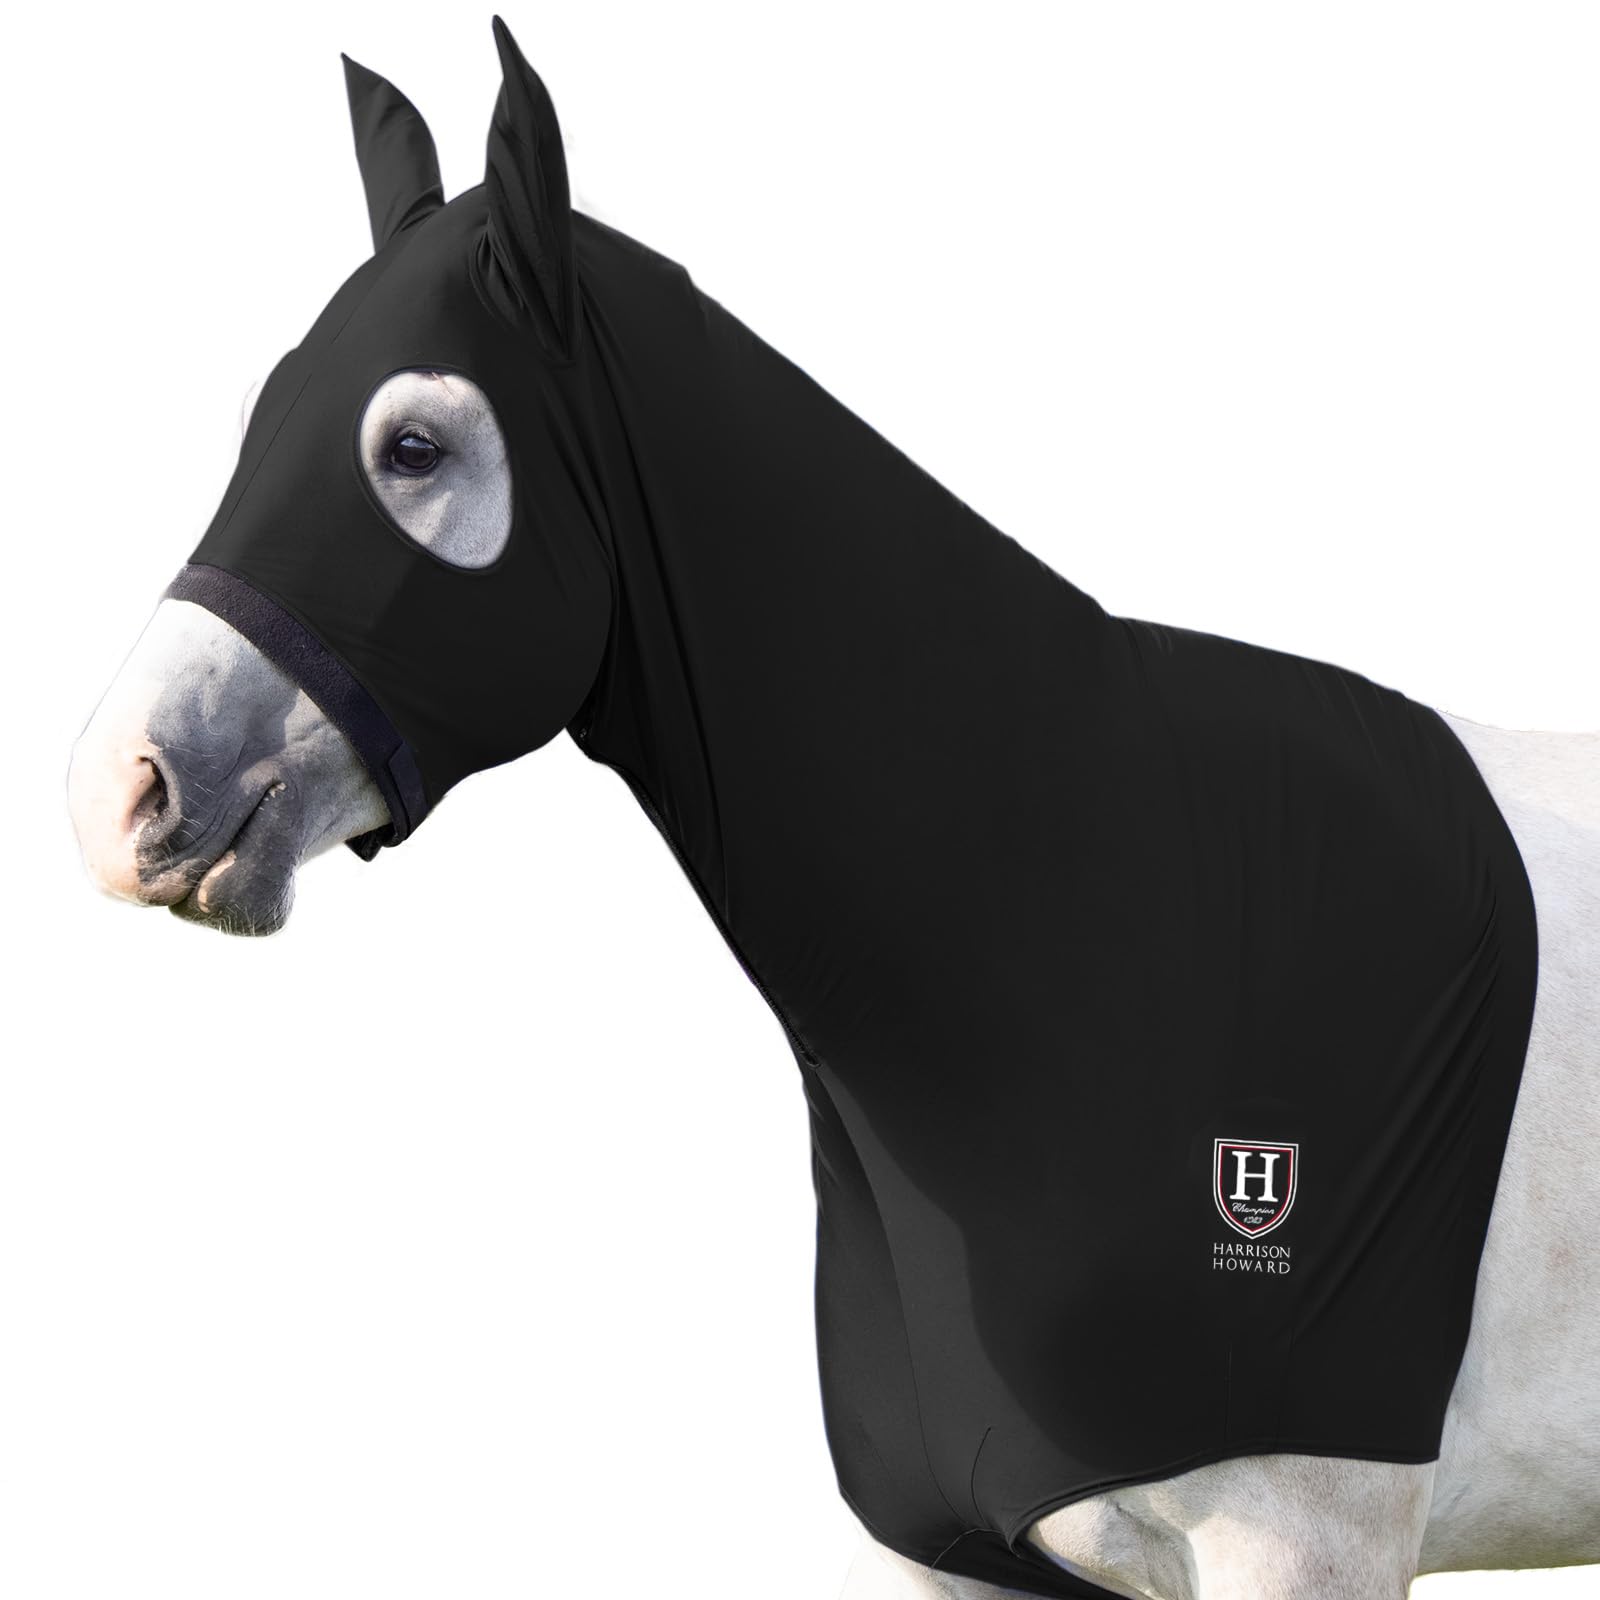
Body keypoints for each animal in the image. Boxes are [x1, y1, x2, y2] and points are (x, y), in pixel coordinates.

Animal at [67, 21, 1598, 1599]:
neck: (1086, 912)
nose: (122, 789)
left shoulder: (1302, 1540)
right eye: (261, 417)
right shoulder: (959, 1553)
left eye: (413, 447)